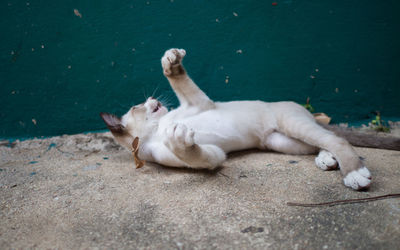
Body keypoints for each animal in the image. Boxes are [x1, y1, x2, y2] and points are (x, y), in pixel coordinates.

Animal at [100, 48, 372, 189]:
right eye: (137, 106)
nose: (151, 99)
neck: (157, 131)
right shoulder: (211, 154)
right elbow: (195, 153)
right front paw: (179, 141)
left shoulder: (198, 103)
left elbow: (178, 79)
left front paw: (171, 61)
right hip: (283, 142)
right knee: (323, 141)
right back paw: (331, 162)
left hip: (293, 125)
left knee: (334, 138)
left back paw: (353, 172)